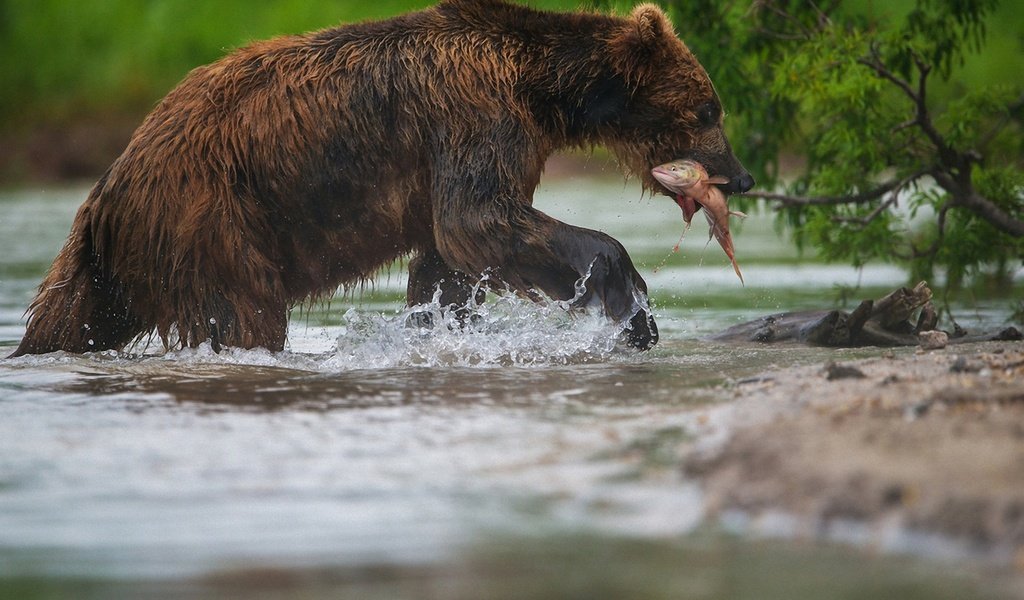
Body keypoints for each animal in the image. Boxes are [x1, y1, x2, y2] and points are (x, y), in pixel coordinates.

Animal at [12, 0, 757, 354]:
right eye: (710, 107)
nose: (742, 175)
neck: (543, 92)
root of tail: (109, 187)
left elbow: (450, 263)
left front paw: (440, 328)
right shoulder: (472, 117)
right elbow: (481, 220)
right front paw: (631, 306)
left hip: (109, 264)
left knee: (69, 317)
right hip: (213, 215)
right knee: (247, 310)